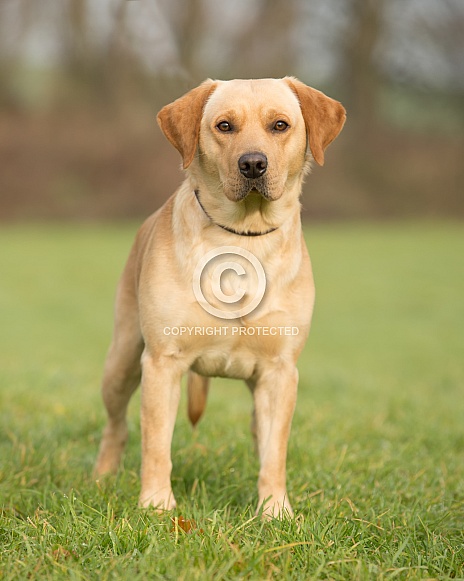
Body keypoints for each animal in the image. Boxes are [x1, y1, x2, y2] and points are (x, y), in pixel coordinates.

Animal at [93, 77, 344, 516]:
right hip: (122, 361)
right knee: (117, 425)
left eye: (280, 125)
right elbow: (156, 444)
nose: (253, 163)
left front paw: (275, 511)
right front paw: (157, 505)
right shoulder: (162, 363)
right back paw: (103, 477)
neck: (242, 234)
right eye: (224, 126)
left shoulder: (280, 372)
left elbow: (275, 452)